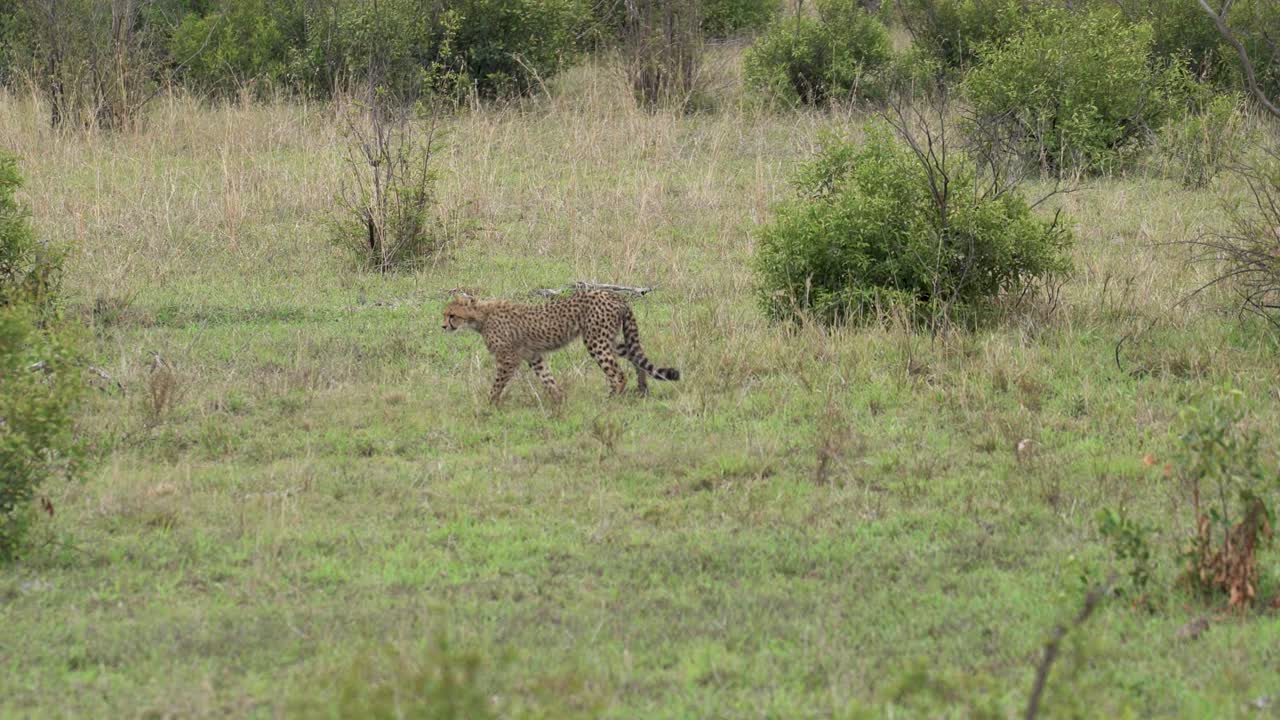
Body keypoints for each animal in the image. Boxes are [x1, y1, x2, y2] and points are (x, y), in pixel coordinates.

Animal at [441, 290, 680, 404]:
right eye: (445, 314)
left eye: (452, 315)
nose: (443, 326)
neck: (480, 316)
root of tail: (614, 295)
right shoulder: (534, 355)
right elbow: (547, 378)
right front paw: (559, 400)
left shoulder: (508, 358)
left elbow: (497, 385)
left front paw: (489, 404)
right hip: (609, 339)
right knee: (635, 356)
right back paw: (642, 388)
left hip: (596, 341)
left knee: (618, 373)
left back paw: (611, 400)